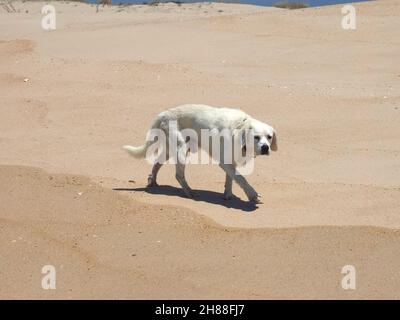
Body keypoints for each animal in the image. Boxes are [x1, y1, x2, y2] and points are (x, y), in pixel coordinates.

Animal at [123, 106, 276, 204]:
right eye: (256, 137)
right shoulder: (224, 162)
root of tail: (164, 114)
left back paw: (152, 181)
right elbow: (241, 178)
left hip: (170, 149)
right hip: (181, 148)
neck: (239, 127)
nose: (265, 148)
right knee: (178, 175)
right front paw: (252, 195)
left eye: (269, 137)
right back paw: (189, 192)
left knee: (156, 164)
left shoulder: (230, 161)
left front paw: (228, 194)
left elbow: (231, 178)